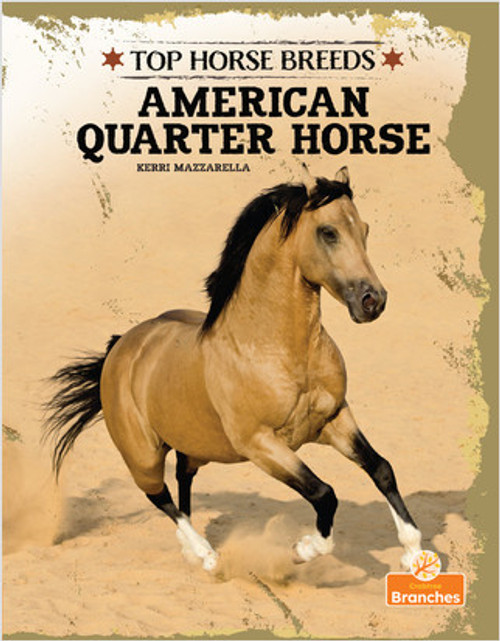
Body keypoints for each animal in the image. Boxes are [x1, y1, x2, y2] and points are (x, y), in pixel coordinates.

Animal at [45, 167, 422, 572]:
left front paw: (414, 552)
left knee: (183, 483)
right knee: (161, 497)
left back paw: (191, 549)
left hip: (193, 446)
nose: (373, 301)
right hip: (143, 456)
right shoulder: (261, 444)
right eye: (328, 232)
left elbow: (381, 468)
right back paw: (205, 556)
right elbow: (324, 494)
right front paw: (302, 549)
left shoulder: (335, 418)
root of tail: (121, 347)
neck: (278, 350)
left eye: (364, 229)